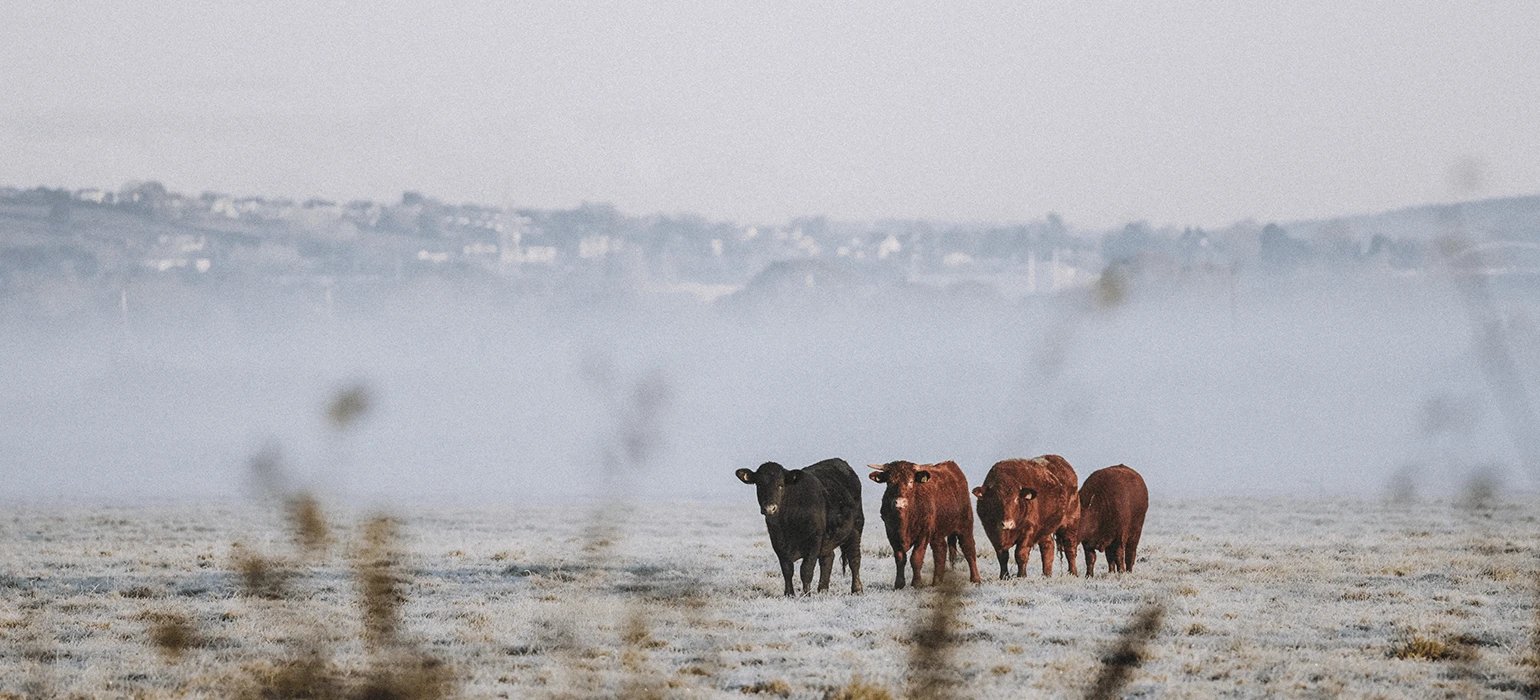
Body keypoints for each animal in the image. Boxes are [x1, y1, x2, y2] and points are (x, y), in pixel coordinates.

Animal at [735, 459, 864, 596]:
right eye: (759, 485)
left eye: (780, 485)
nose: (770, 508)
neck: (787, 524)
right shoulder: (777, 542)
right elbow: (787, 570)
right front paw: (789, 594)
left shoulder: (814, 540)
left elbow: (806, 570)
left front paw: (806, 594)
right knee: (828, 558)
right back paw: (823, 589)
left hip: (856, 527)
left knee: (854, 559)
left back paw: (857, 589)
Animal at [868, 460, 981, 589]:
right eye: (890, 482)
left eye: (911, 481)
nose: (900, 503)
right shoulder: (891, 534)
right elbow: (900, 558)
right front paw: (899, 584)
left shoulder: (923, 534)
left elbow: (916, 558)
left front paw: (917, 583)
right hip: (938, 533)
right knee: (940, 551)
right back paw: (937, 581)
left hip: (965, 526)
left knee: (969, 549)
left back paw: (975, 579)